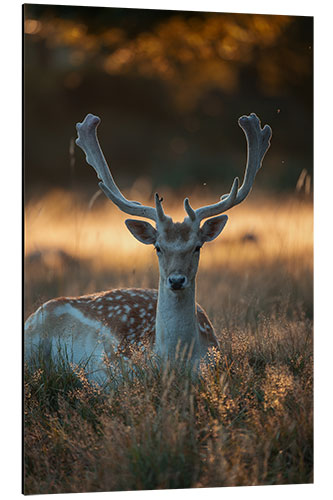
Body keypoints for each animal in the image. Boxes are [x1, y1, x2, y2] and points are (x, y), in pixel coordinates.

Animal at [25, 111, 270, 380]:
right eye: (158, 247)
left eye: (197, 246)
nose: (176, 280)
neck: (173, 361)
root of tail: (37, 311)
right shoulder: (110, 369)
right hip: (31, 346)